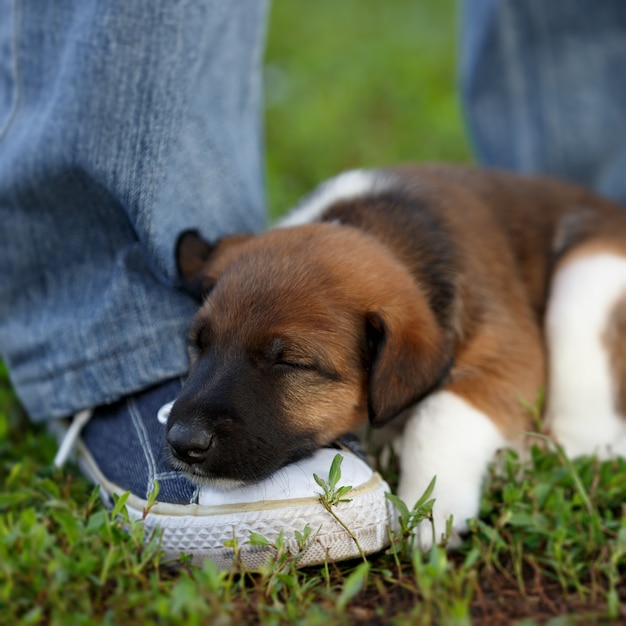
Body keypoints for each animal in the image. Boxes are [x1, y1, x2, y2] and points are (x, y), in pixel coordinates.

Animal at [167, 163, 626, 544]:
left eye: (289, 362)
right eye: (198, 344)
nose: (182, 442)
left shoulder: (512, 357)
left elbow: (439, 414)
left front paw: (432, 510)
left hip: (583, 279)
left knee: (587, 443)